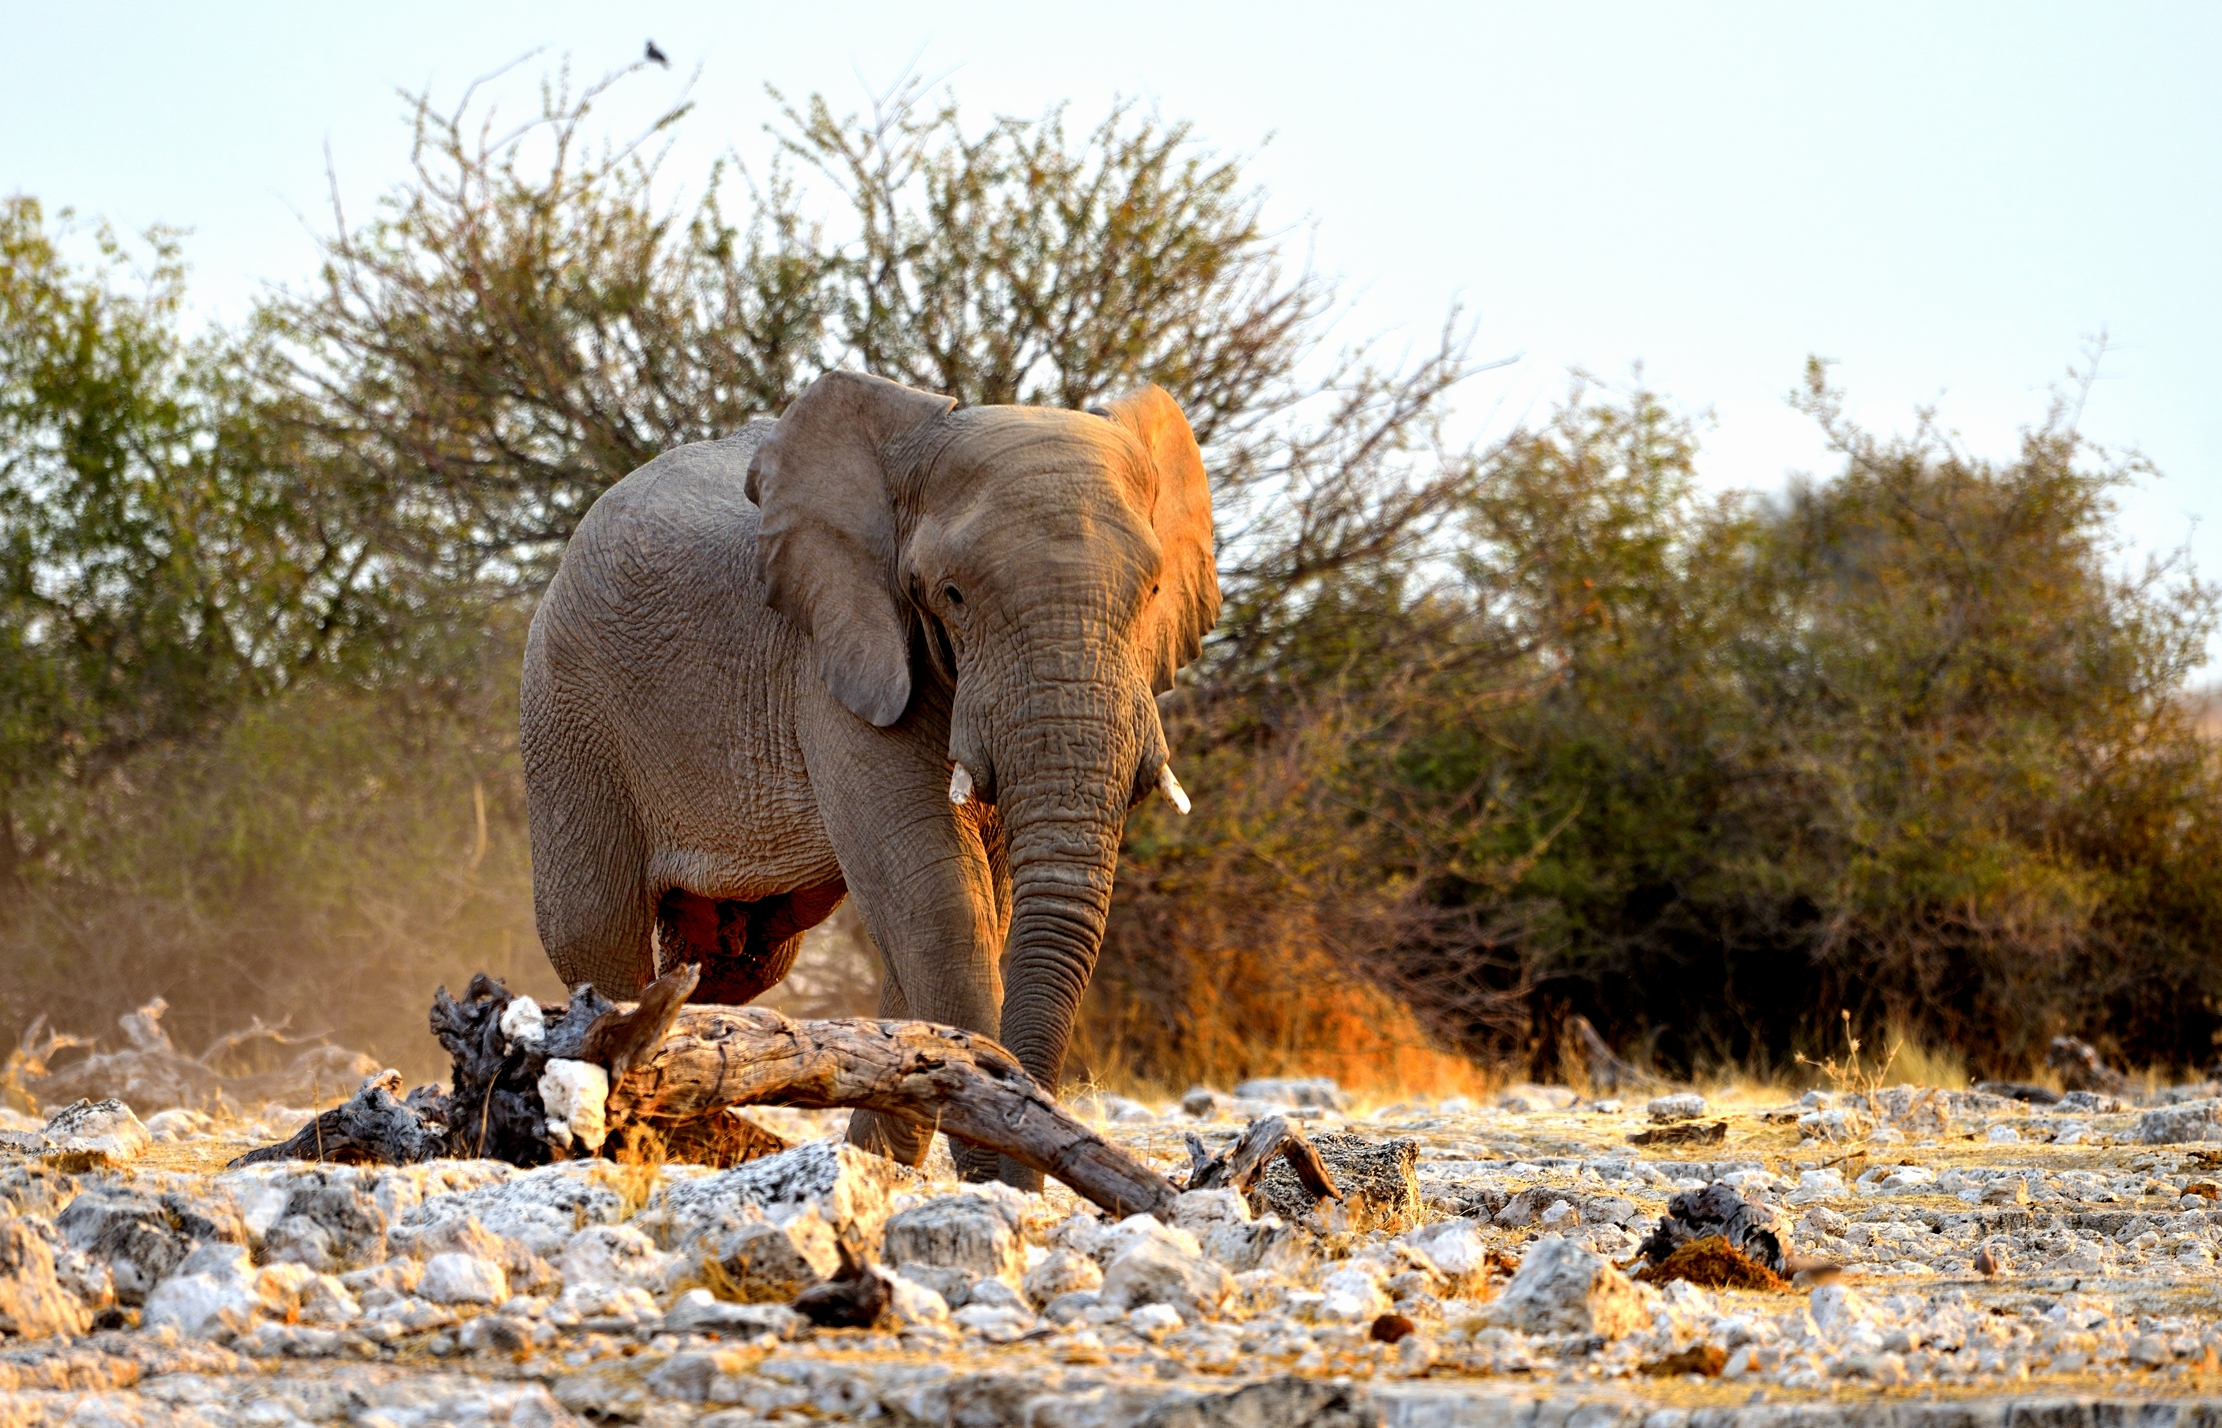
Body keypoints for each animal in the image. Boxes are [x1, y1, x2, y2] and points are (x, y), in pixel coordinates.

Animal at [520, 369, 1219, 1186]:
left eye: (1152, 592)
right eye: (951, 593)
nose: (1026, 1165)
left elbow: (972, 904)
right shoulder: (837, 658)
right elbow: (942, 906)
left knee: (735, 958)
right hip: (569, 710)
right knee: (593, 932)